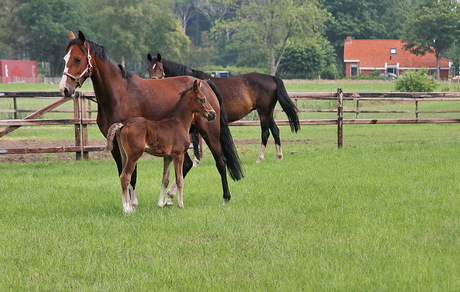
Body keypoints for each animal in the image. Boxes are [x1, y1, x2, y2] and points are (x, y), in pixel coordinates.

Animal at [106, 80, 216, 212]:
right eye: (202, 99)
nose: (213, 114)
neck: (179, 123)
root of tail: (123, 125)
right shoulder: (178, 155)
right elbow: (179, 179)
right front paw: (180, 205)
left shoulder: (168, 157)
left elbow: (165, 180)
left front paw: (160, 204)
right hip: (133, 155)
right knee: (125, 177)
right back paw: (127, 209)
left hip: (124, 156)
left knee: (123, 176)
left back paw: (129, 207)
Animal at [146, 53, 300, 163]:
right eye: (148, 69)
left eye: (160, 68)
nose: (153, 81)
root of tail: (272, 77)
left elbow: (194, 139)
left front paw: (196, 161)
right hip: (268, 113)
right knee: (275, 131)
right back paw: (279, 157)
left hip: (263, 112)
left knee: (265, 133)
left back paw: (259, 158)